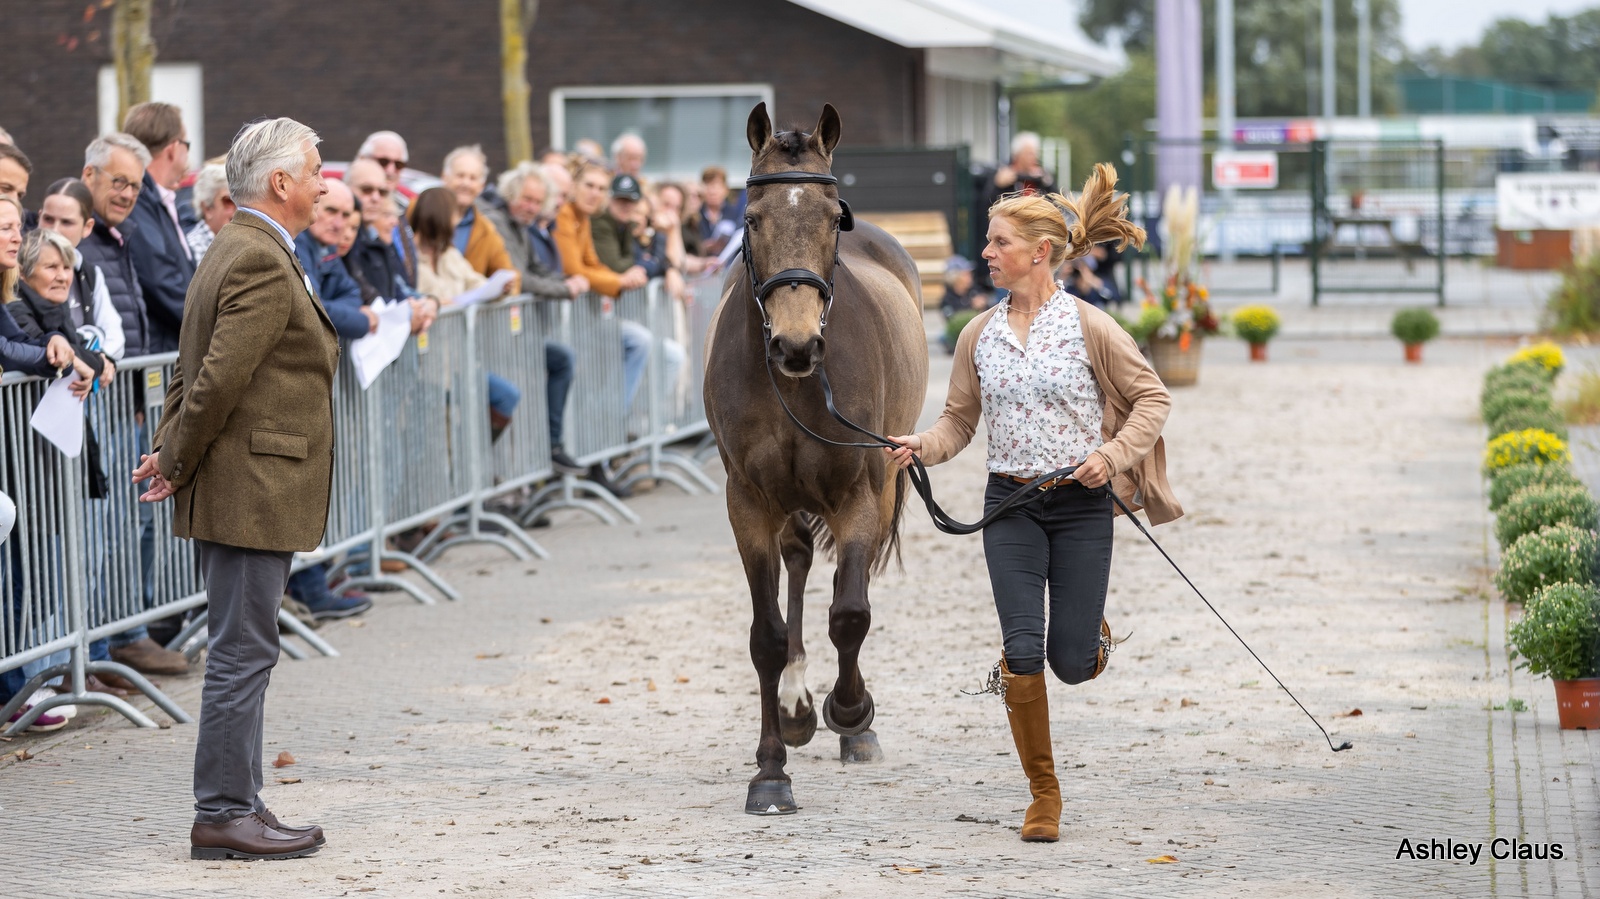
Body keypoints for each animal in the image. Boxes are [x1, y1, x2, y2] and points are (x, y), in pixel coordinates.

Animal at [707, 103, 934, 812]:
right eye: (753, 219)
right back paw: (797, 705)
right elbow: (768, 635)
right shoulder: (748, 504)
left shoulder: (859, 493)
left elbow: (851, 614)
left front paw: (852, 713)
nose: (797, 344)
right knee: (801, 565)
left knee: (840, 589)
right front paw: (771, 769)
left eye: (835, 218)